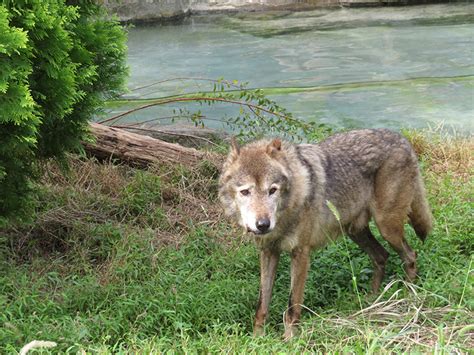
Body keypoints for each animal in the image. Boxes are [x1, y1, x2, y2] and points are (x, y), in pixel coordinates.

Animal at [218, 129, 434, 340]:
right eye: (245, 192)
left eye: (272, 190)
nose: (263, 225)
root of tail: (403, 139)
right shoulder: (268, 252)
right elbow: (262, 305)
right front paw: (257, 340)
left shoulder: (301, 254)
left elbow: (292, 308)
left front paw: (290, 341)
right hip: (356, 232)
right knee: (382, 256)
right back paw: (372, 301)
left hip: (387, 228)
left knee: (410, 256)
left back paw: (407, 296)